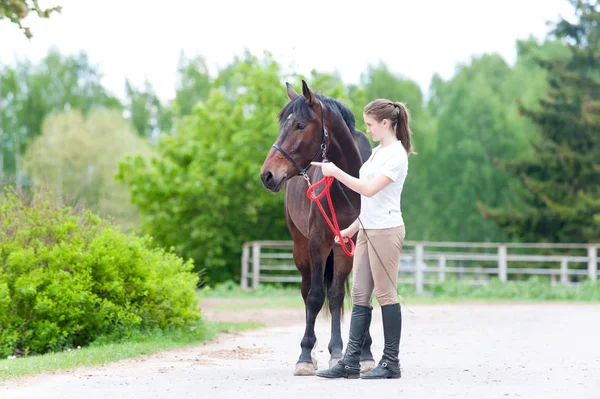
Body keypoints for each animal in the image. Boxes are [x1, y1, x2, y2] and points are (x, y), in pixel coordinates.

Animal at [258, 80, 372, 376]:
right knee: (306, 289)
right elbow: (314, 297)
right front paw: (305, 357)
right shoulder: (318, 242)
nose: (267, 175)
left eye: (299, 125)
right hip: (301, 249)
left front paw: (351, 353)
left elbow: (339, 295)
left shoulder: (349, 245)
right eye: (281, 124)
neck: (346, 185)